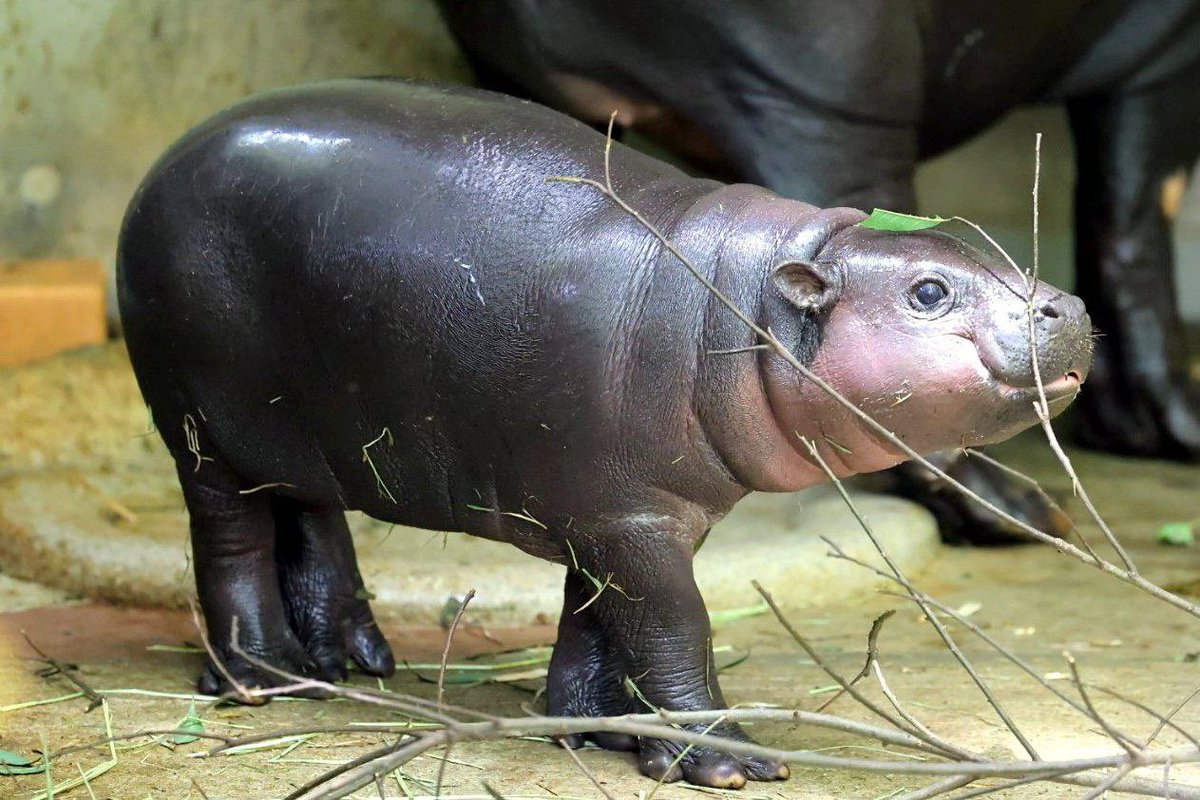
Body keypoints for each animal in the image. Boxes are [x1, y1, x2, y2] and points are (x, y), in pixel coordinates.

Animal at [117, 80, 1092, 788]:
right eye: (929, 291)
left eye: (992, 252)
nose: (1071, 306)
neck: (741, 302)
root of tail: (167, 159)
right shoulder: (632, 521)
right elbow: (673, 625)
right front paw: (726, 765)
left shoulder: (615, 514)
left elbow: (595, 618)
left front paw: (594, 732)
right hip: (200, 429)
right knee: (231, 540)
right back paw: (263, 679)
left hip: (302, 428)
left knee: (312, 517)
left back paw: (355, 663)